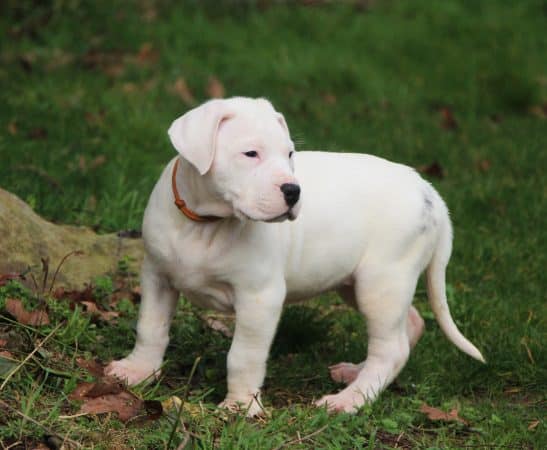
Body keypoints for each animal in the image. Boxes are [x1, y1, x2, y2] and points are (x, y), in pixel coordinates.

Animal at [106, 96, 484, 416]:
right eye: (251, 154)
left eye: (289, 154)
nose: (293, 191)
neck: (206, 222)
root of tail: (429, 192)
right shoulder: (157, 276)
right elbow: (150, 328)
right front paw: (136, 370)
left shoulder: (260, 298)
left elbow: (243, 355)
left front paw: (241, 406)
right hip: (360, 283)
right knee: (407, 327)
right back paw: (355, 373)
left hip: (382, 281)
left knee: (391, 348)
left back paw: (348, 401)